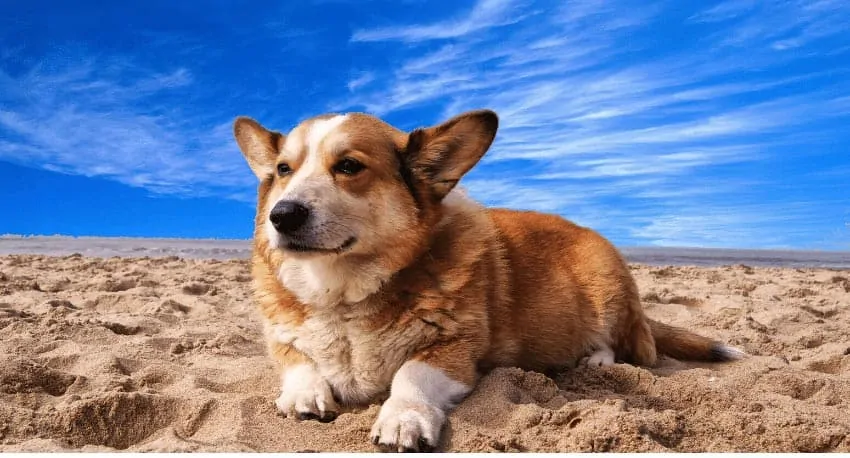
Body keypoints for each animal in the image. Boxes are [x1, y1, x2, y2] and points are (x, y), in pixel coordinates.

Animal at [232, 109, 744, 452]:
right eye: (283, 170)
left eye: (349, 166)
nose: (282, 216)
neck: (342, 290)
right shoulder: (282, 338)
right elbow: (300, 362)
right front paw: (305, 393)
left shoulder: (454, 351)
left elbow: (410, 374)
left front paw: (402, 418)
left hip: (606, 289)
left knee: (621, 343)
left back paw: (596, 362)